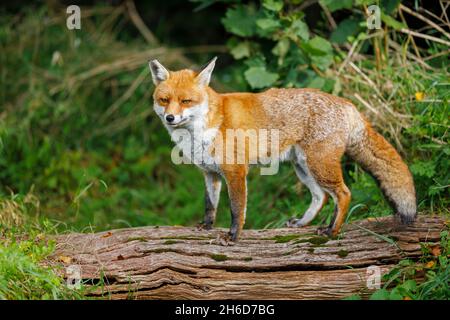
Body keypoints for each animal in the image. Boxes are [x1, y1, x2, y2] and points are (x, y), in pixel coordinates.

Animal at [149, 57, 416, 242]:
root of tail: (346, 103)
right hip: (302, 167)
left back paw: (332, 230)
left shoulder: (235, 171)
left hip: (319, 166)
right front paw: (206, 226)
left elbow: (236, 209)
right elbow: (210, 204)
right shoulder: (210, 173)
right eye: (164, 100)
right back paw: (302, 224)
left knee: (343, 194)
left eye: (186, 101)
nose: (170, 118)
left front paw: (233, 236)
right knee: (320, 197)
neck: (200, 132)